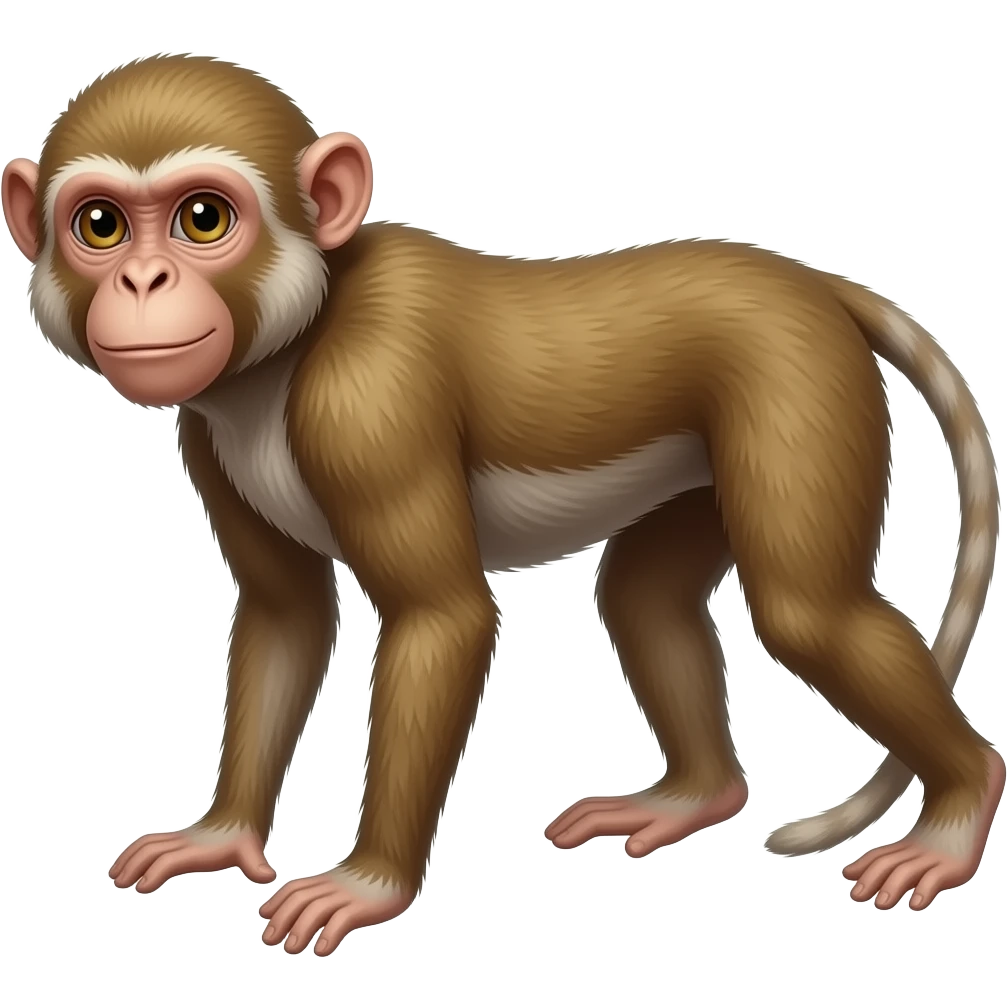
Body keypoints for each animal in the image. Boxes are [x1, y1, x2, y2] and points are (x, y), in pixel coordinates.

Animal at [2, 52, 1002, 955]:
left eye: (201, 218)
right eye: (100, 226)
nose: (143, 283)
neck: (288, 346)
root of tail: (811, 281)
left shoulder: (369, 398)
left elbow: (441, 618)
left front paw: (369, 884)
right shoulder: (205, 435)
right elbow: (286, 614)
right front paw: (222, 834)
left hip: (796, 384)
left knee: (806, 610)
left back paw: (959, 808)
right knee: (644, 594)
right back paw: (696, 793)